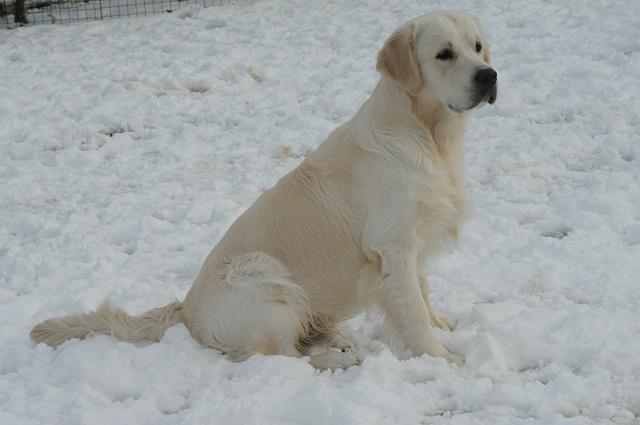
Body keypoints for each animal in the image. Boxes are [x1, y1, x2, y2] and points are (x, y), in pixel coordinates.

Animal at [31, 11, 500, 370]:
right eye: (444, 54)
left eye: (477, 47)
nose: (490, 75)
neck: (429, 135)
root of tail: (188, 310)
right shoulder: (393, 245)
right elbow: (413, 312)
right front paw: (442, 357)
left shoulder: (411, 241)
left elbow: (423, 293)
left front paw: (442, 325)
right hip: (270, 286)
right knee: (281, 357)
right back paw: (335, 358)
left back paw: (334, 339)